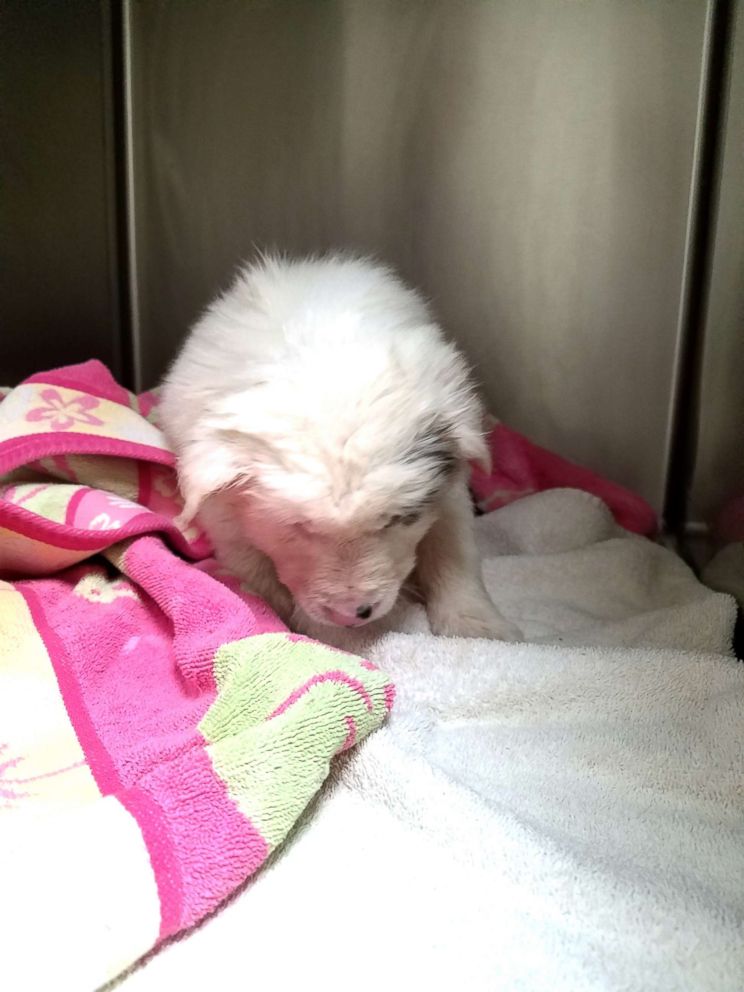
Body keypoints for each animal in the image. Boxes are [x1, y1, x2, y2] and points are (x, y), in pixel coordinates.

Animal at [161, 256, 524, 640]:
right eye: (298, 527)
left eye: (396, 520)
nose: (354, 614)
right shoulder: (225, 512)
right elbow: (256, 569)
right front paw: (324, 636)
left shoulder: (449, 488)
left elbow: (453, 549)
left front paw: (476, 625)